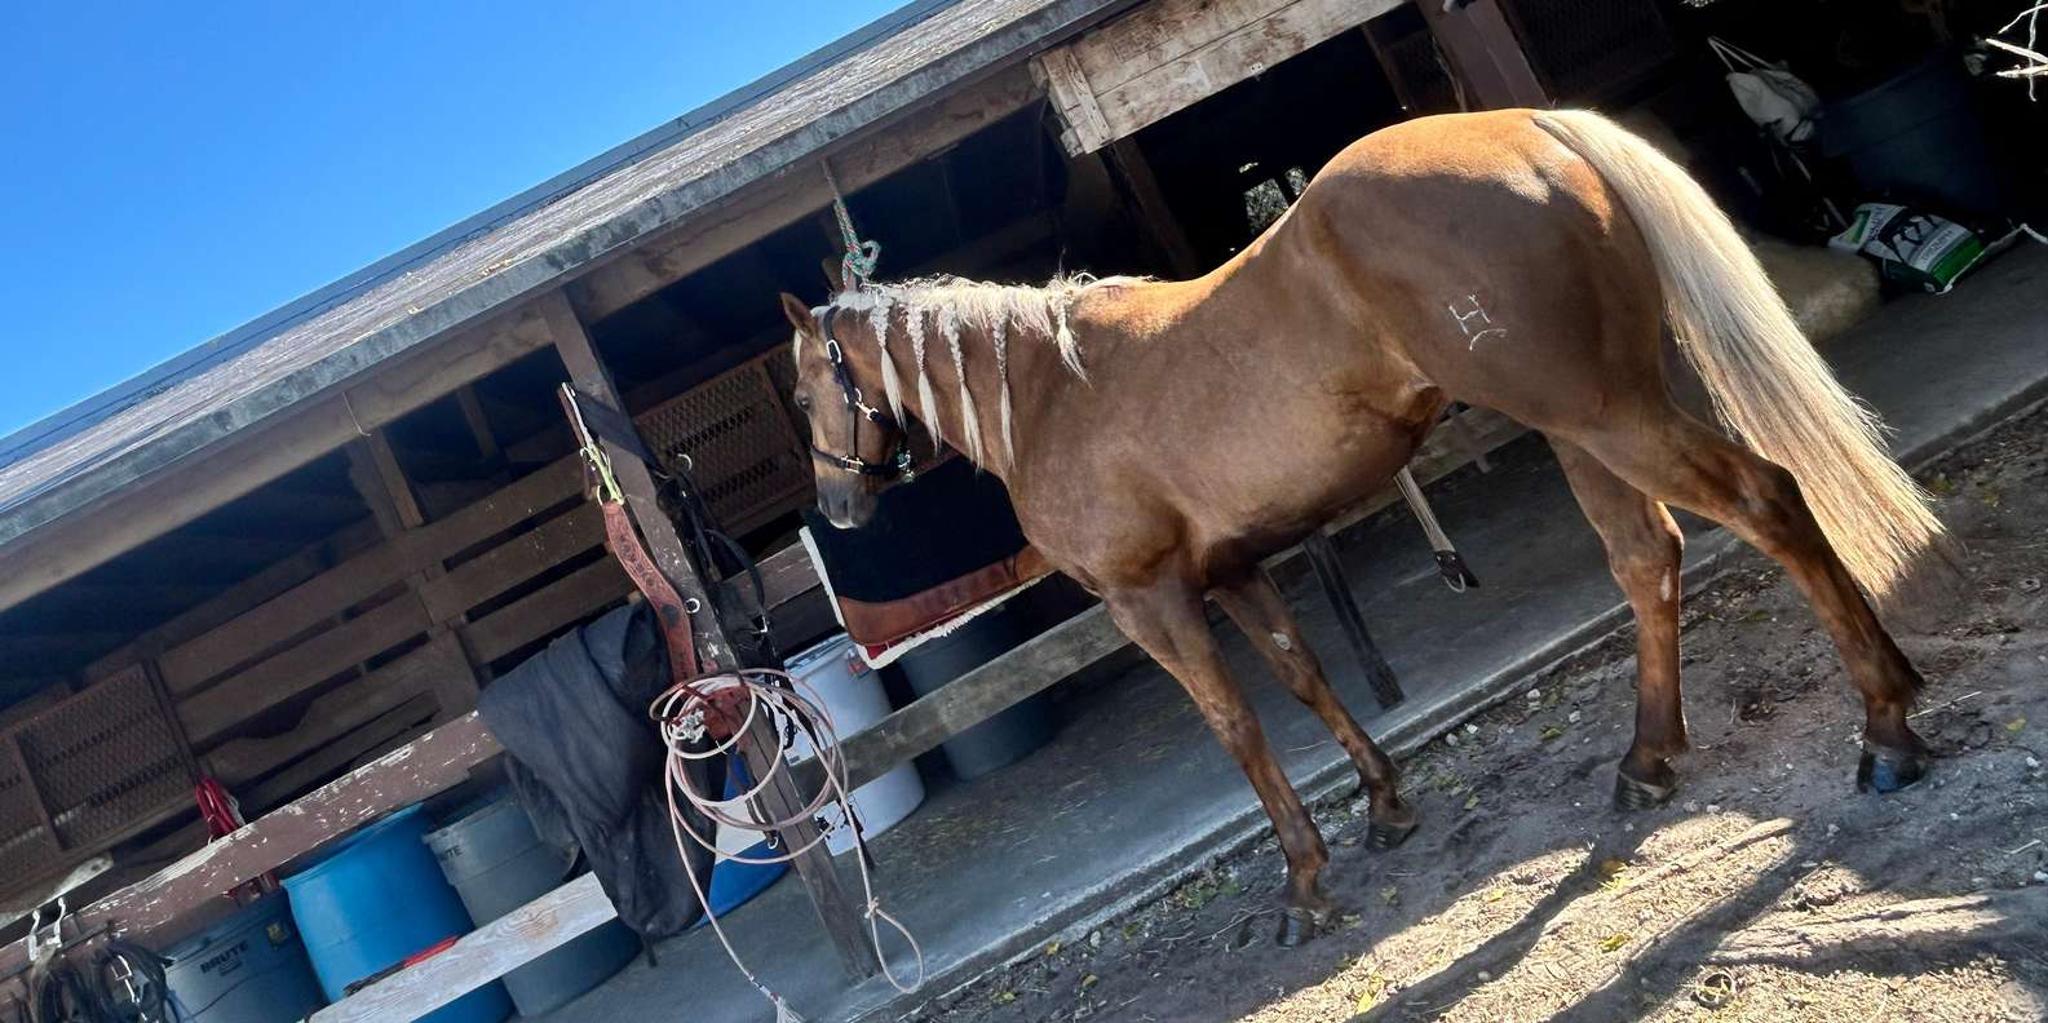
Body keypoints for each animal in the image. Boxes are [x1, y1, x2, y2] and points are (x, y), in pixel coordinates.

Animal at [777, 108, 1946, 945]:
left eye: (803, 392)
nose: (836, 506)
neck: (1050, 393)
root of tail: (1531, 126)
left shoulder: (1151, 600)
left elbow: (1236, 726)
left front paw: (1303, 881)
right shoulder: (1235, 570)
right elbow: (1303, 677)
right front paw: (1384, 808)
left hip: (1610, 417)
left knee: (1764, 501)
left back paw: (1884, 730)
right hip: (1584, 424)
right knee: (1644, 557)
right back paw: (1649, 759)